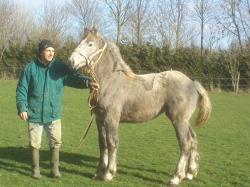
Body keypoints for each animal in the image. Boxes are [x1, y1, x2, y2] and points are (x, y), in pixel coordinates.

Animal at [66, 27, 211, 186]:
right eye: (81, 41)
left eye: (90, 44)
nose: (71, 61)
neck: (110, 81)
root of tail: (192, 83)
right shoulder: (99, 119)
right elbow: (102, 144)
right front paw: (99, 172)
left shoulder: (111, 118)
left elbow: (112, 143)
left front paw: (109, 173)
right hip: (185, 121)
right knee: (193, 140)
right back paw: (190, 172)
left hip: (178, 120)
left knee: (185, 143)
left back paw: (176, 177)